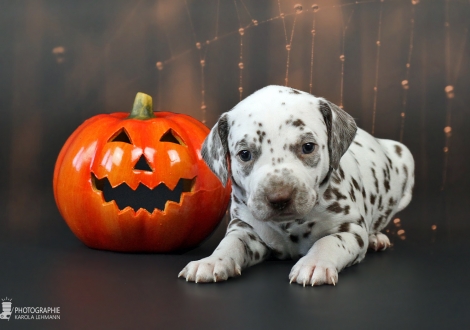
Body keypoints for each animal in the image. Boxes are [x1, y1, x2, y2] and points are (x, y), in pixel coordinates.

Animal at [178, 85, 414, 286]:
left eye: (308, 147)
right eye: (245, 154)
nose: (279, 198)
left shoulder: (350, 229)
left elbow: (328, 242)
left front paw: (314, 263)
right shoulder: (244, 227)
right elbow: (231, 243)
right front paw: (212, 261)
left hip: (404, 158)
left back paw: (376, 238)